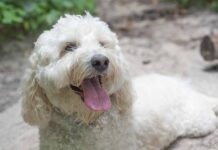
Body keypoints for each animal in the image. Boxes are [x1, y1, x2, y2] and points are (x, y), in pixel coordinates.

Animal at [20, 13, 218, 149]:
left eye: (102, 44)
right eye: (69, 47)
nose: (101, 60)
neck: (88, 121)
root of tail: (186, 87)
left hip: (197, 122)